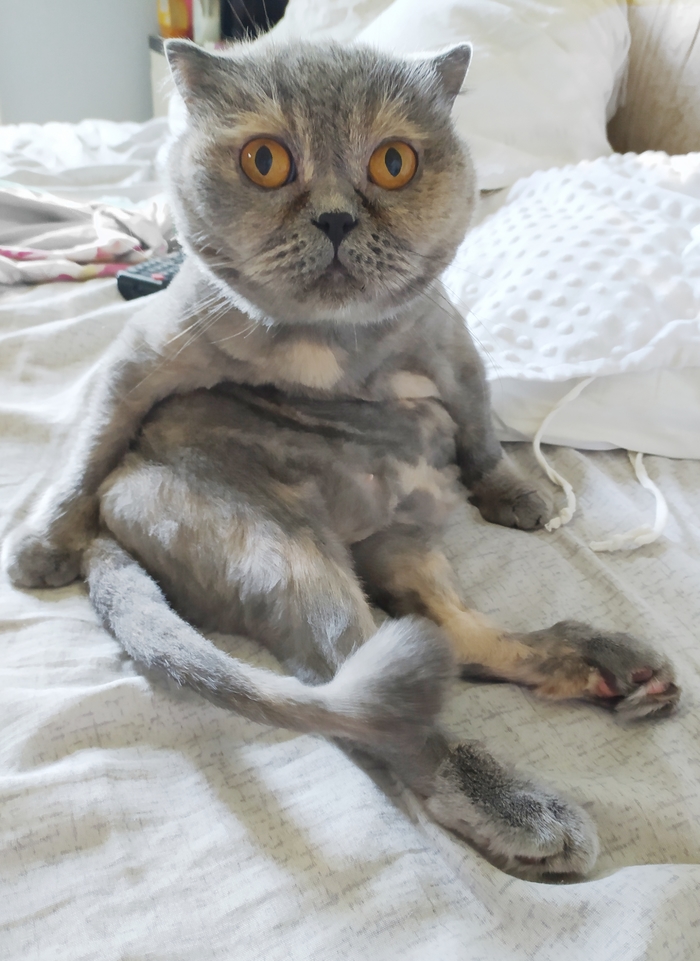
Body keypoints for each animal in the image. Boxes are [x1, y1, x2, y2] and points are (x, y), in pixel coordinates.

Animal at [3, 40, 679, 879]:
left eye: (393, 163)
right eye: (266, 161)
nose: (334, 215)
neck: (326, 348)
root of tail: (112, 526)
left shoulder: (453, 348)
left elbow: (482, 432)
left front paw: (514, 494)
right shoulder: (142, 355)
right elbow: (89, 441)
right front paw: (38, 546)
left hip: (395, 547)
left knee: (449, 638)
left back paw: (603, 665)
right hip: (286, 553)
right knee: (380, 703)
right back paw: (526, 808)